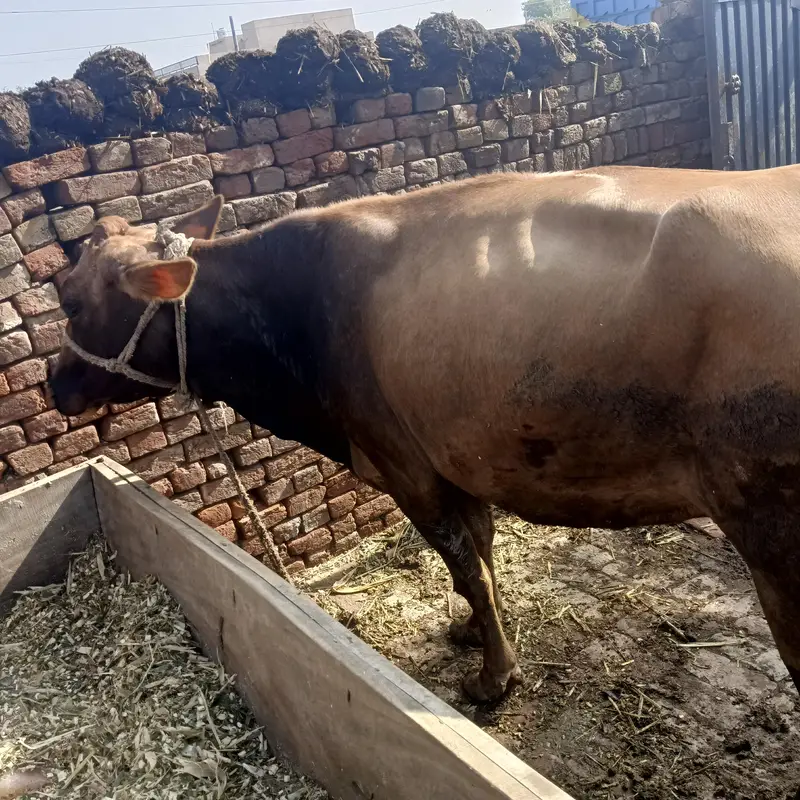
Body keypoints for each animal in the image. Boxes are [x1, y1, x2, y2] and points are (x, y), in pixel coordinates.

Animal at [49, 165, 800, 703]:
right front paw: (473, 633)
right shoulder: (453, 455)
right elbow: (484, 559)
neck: (295, 305)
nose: (55, 386)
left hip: (769, 526)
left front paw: (495, 679)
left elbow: (464, 563)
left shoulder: (402, 462)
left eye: (73, 300)